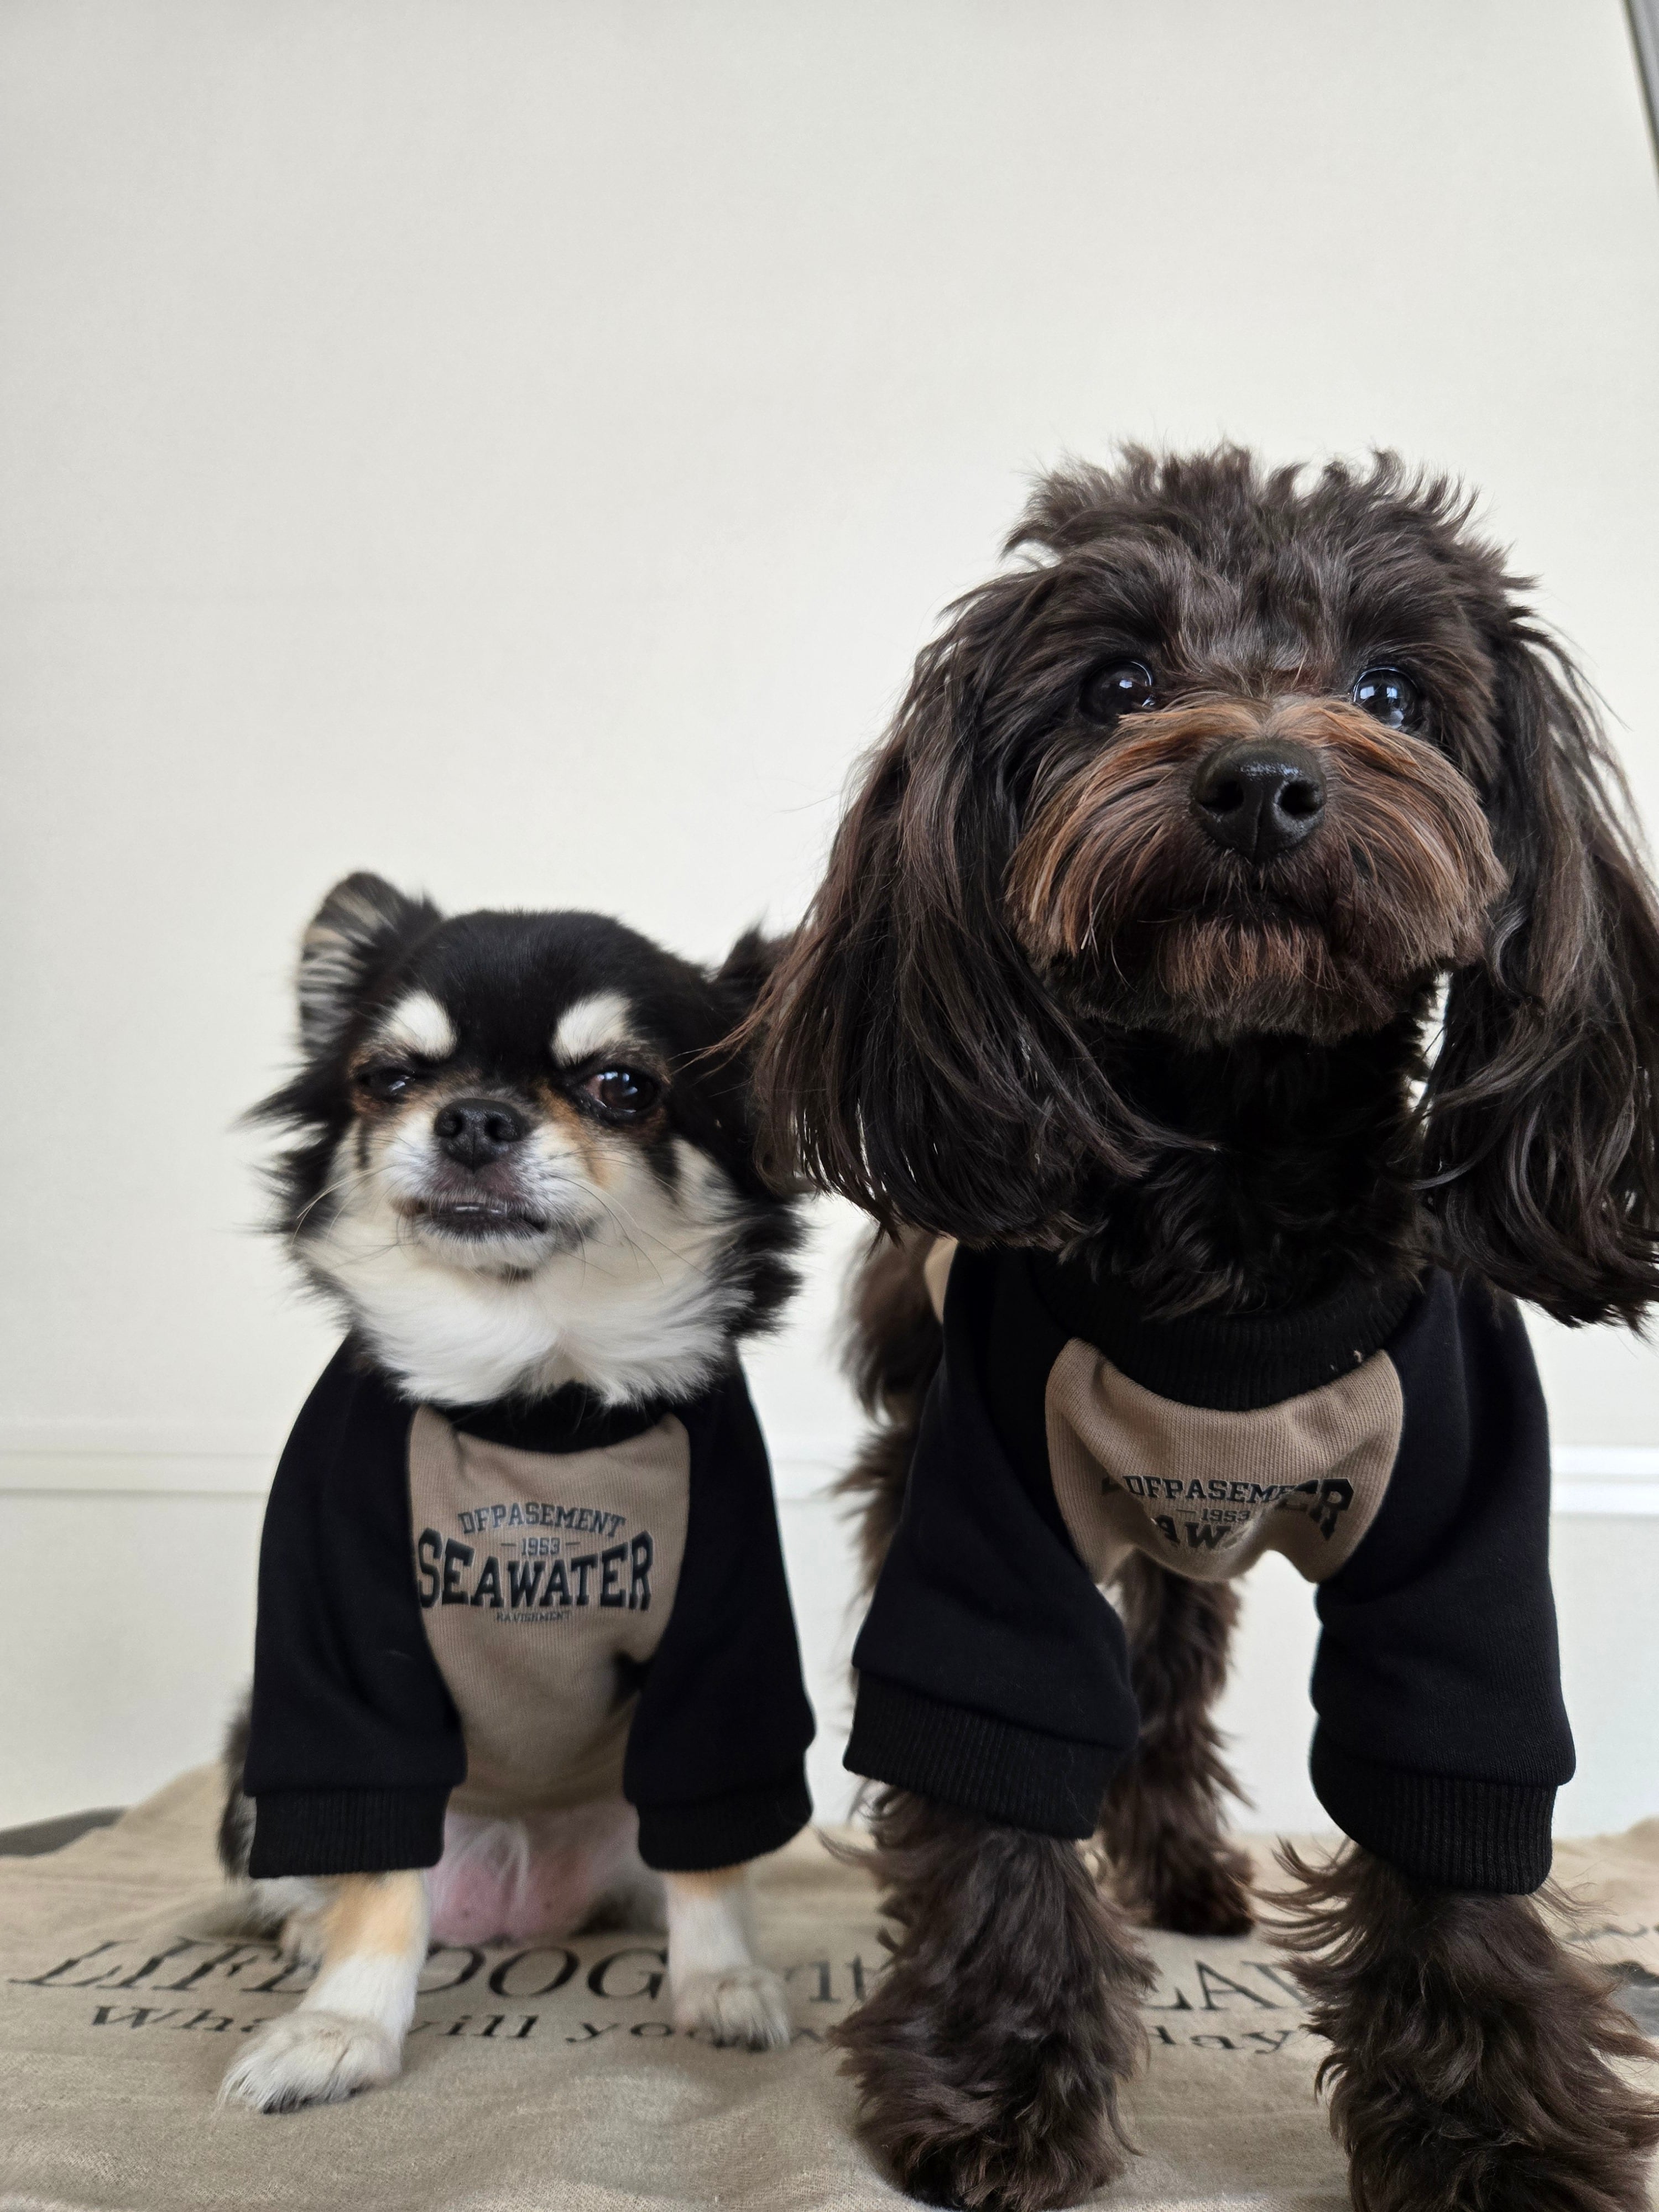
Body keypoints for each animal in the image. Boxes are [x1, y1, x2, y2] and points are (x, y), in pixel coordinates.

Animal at [217, 873, 813, 2112]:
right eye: (391, 1079)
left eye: (622, 1087)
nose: (475, 1118)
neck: (534, 1394)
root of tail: (519, 1904)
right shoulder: (346, 1651)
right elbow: (379, 1874)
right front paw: (342, 2025)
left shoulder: (727, 1641)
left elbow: (715, 1844)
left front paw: (723, 1982)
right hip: (257, 1768)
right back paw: (306, 1933)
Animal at [750, 449, 1659, 2212]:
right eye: (1117, 684)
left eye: (1391, 691)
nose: (1259, 782)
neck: (1237, 1171)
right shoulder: (989, 1496)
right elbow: (992, 1750)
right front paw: (997, 2081)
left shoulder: (1462, 1531)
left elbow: (1454, 1790)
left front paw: (1495, 2127)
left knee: (1169, 1673)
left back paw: (1180, 1866)